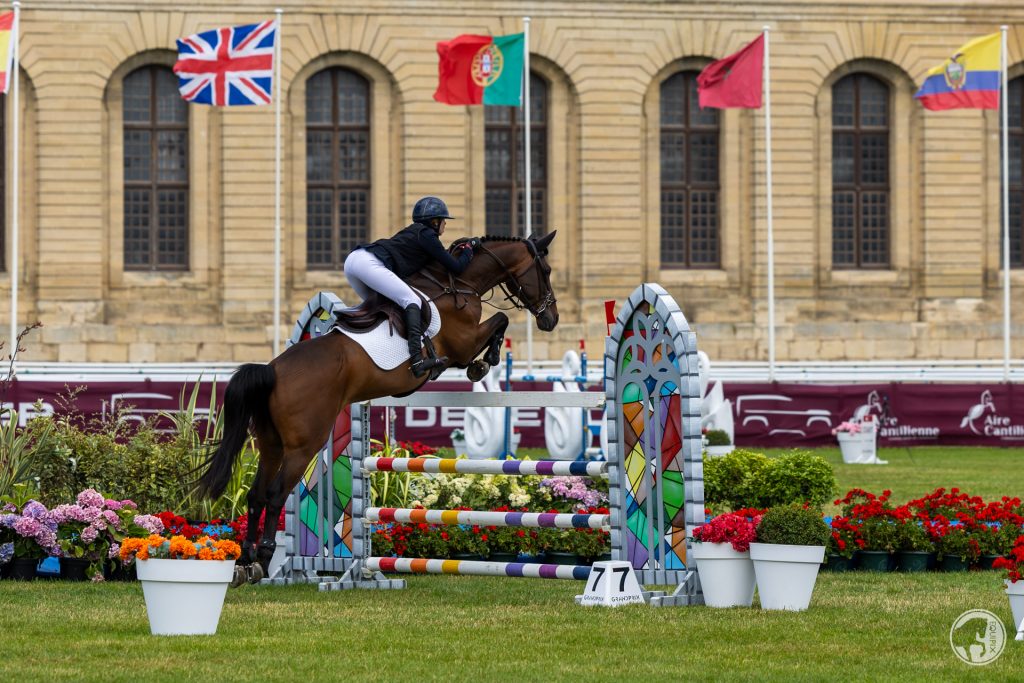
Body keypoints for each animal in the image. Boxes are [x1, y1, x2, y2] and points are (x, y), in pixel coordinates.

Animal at [194, 232, 557, 585]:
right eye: (546, 271)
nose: (551, 320)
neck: (457, 283)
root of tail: (272, 370)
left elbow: (500, 320)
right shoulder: (463, 344)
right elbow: (500, 320)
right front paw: (485, 363)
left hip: (271, 444)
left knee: (256, 496)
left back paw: (245, 563)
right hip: (303, 446)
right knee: (274, 495)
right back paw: (264, 560)